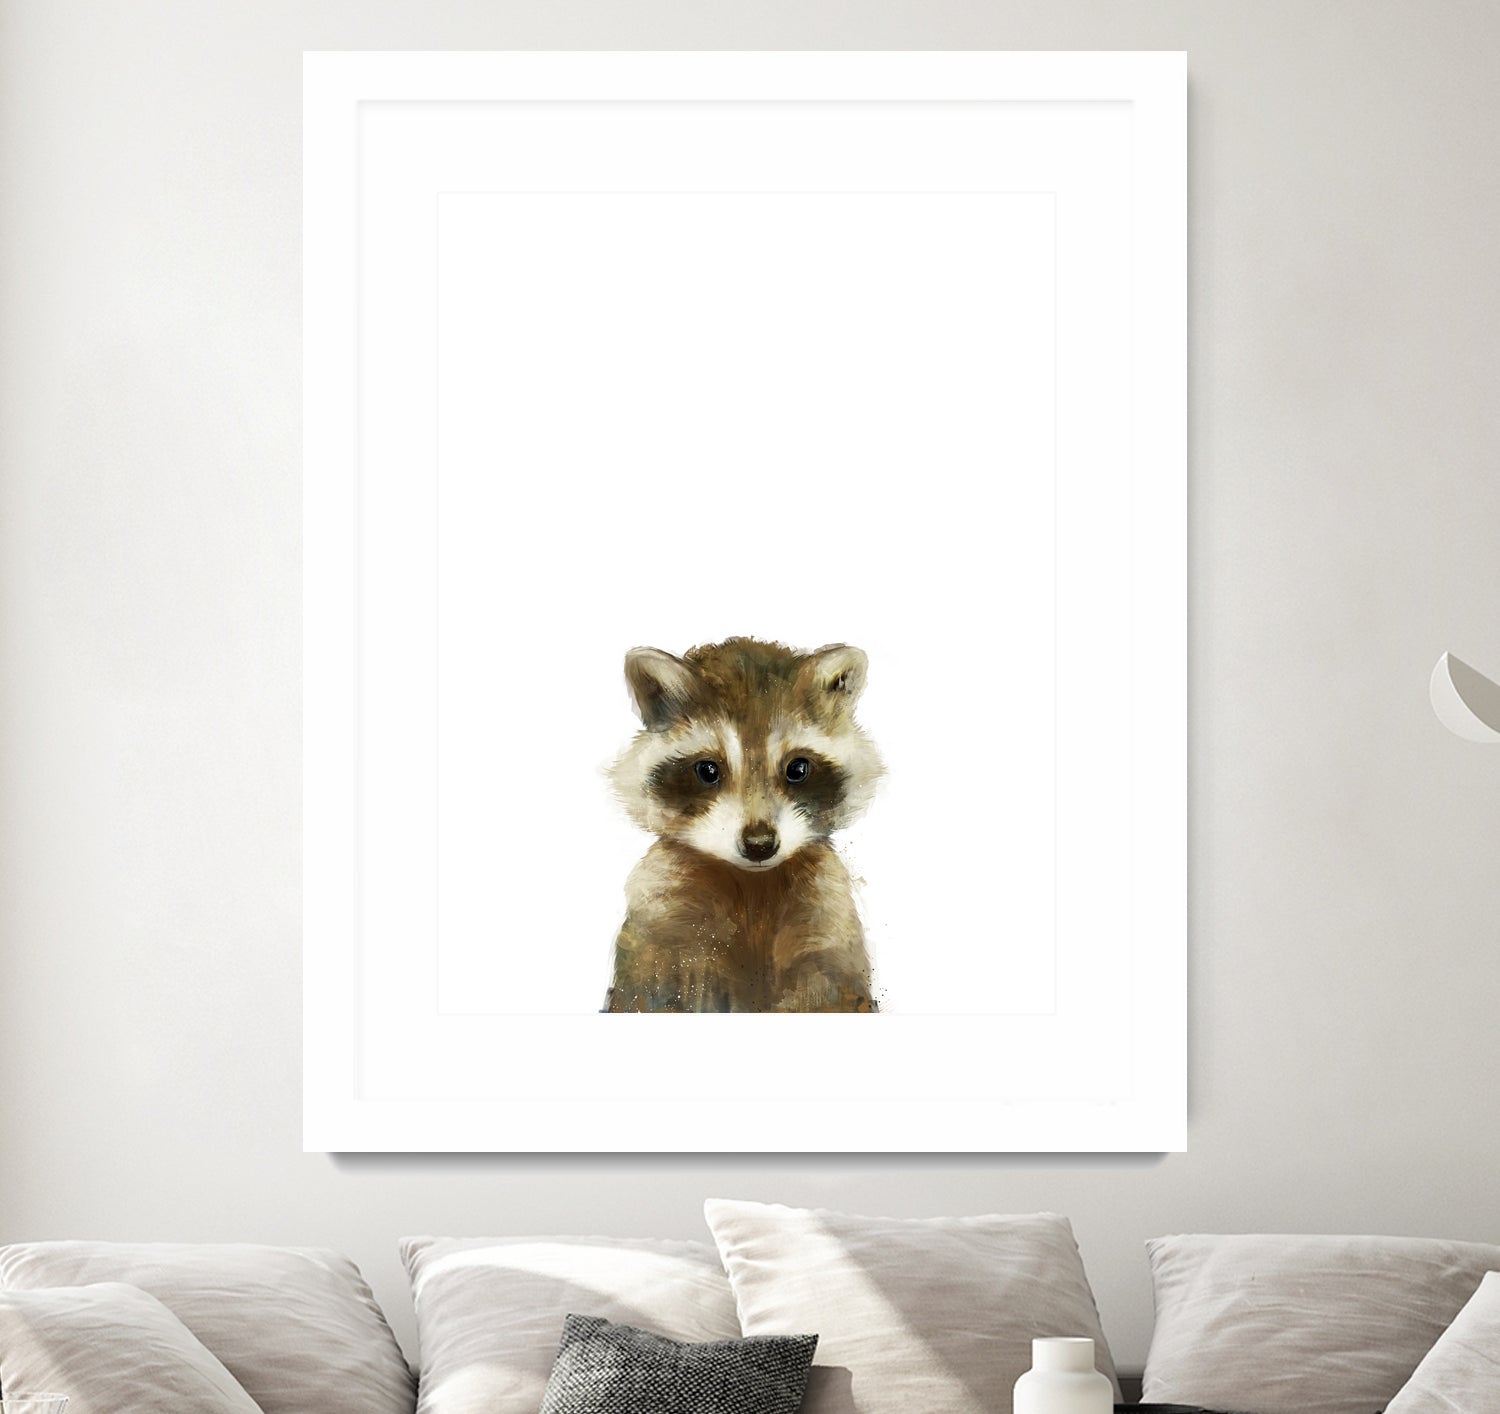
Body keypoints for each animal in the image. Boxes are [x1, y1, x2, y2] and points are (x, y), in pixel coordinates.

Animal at [604, 637, 884, 1013]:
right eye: (708, 770)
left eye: (797, 769)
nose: (759, 844)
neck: (753, 885)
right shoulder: (661, 920)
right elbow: (653, 991)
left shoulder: (827, 918)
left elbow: (830, 990)